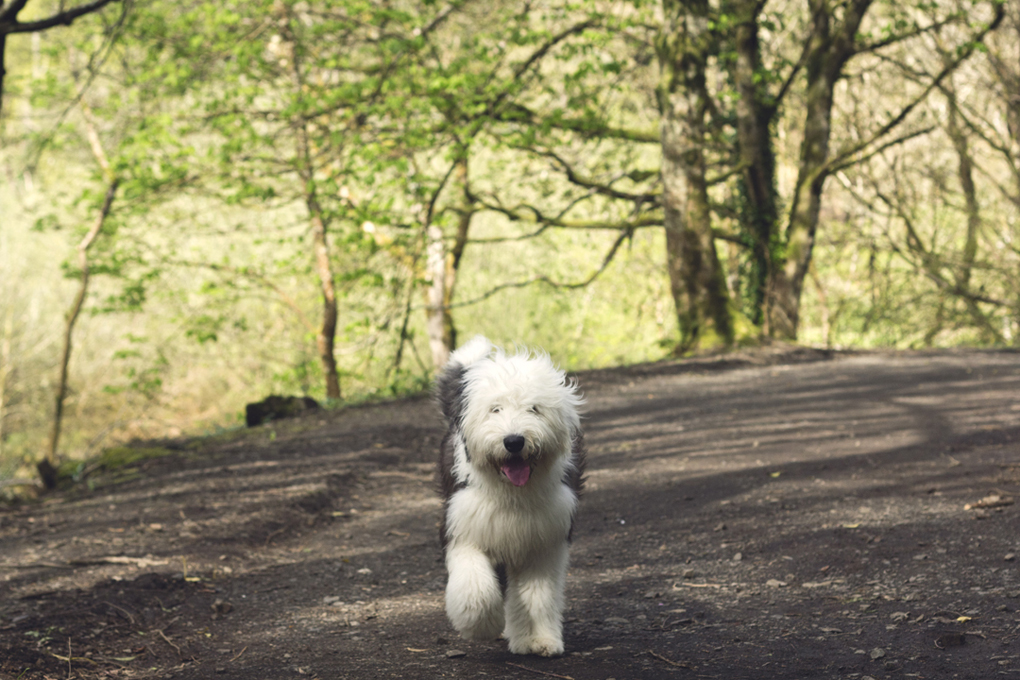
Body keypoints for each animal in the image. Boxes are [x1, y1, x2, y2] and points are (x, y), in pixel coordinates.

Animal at [434, 338, 587, 656]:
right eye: (495, 409)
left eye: (534, 409)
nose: (514, 441)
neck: (512, 494)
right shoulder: (464, 526)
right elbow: (474, 586)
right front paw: (480, 624)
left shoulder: (543, 541)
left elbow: (537, 595)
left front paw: (538, 639)